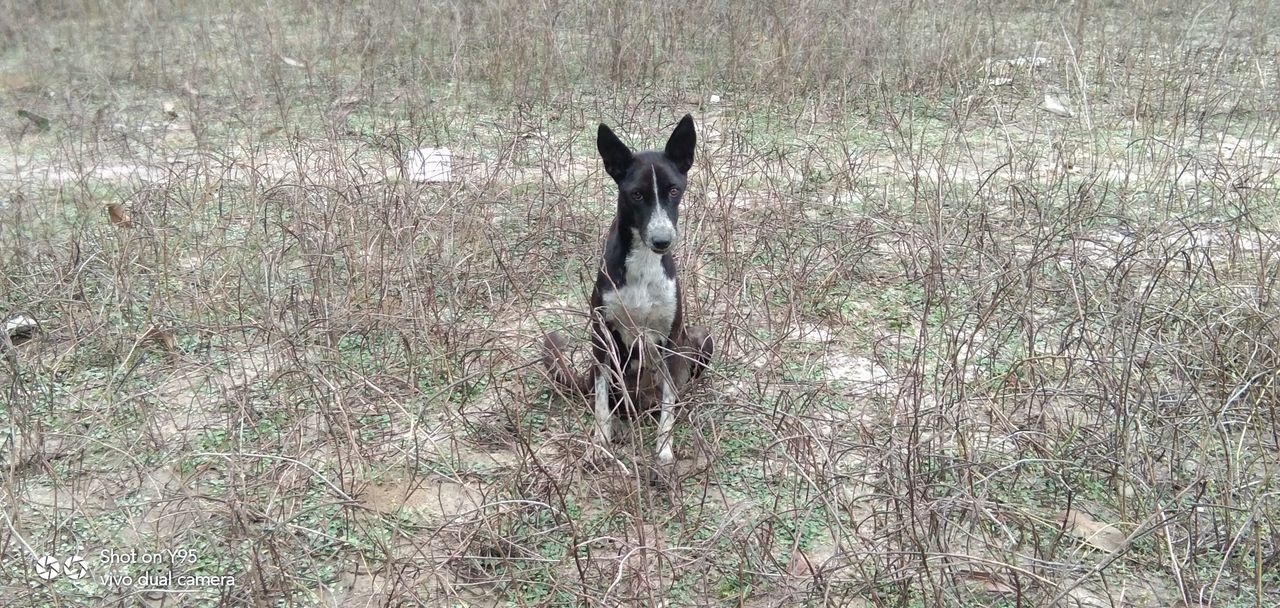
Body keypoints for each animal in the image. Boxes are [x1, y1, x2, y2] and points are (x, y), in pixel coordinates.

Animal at [545, 115, 716, 465]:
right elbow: (600, 404)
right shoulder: (602, 336)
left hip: (701, 337)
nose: (662, 241)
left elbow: (668, 406)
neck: (644, 262)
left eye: (674, 190)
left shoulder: (671, 340)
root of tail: (641, 404)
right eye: (636, 195)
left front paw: (664, 451)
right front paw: (600, 443)